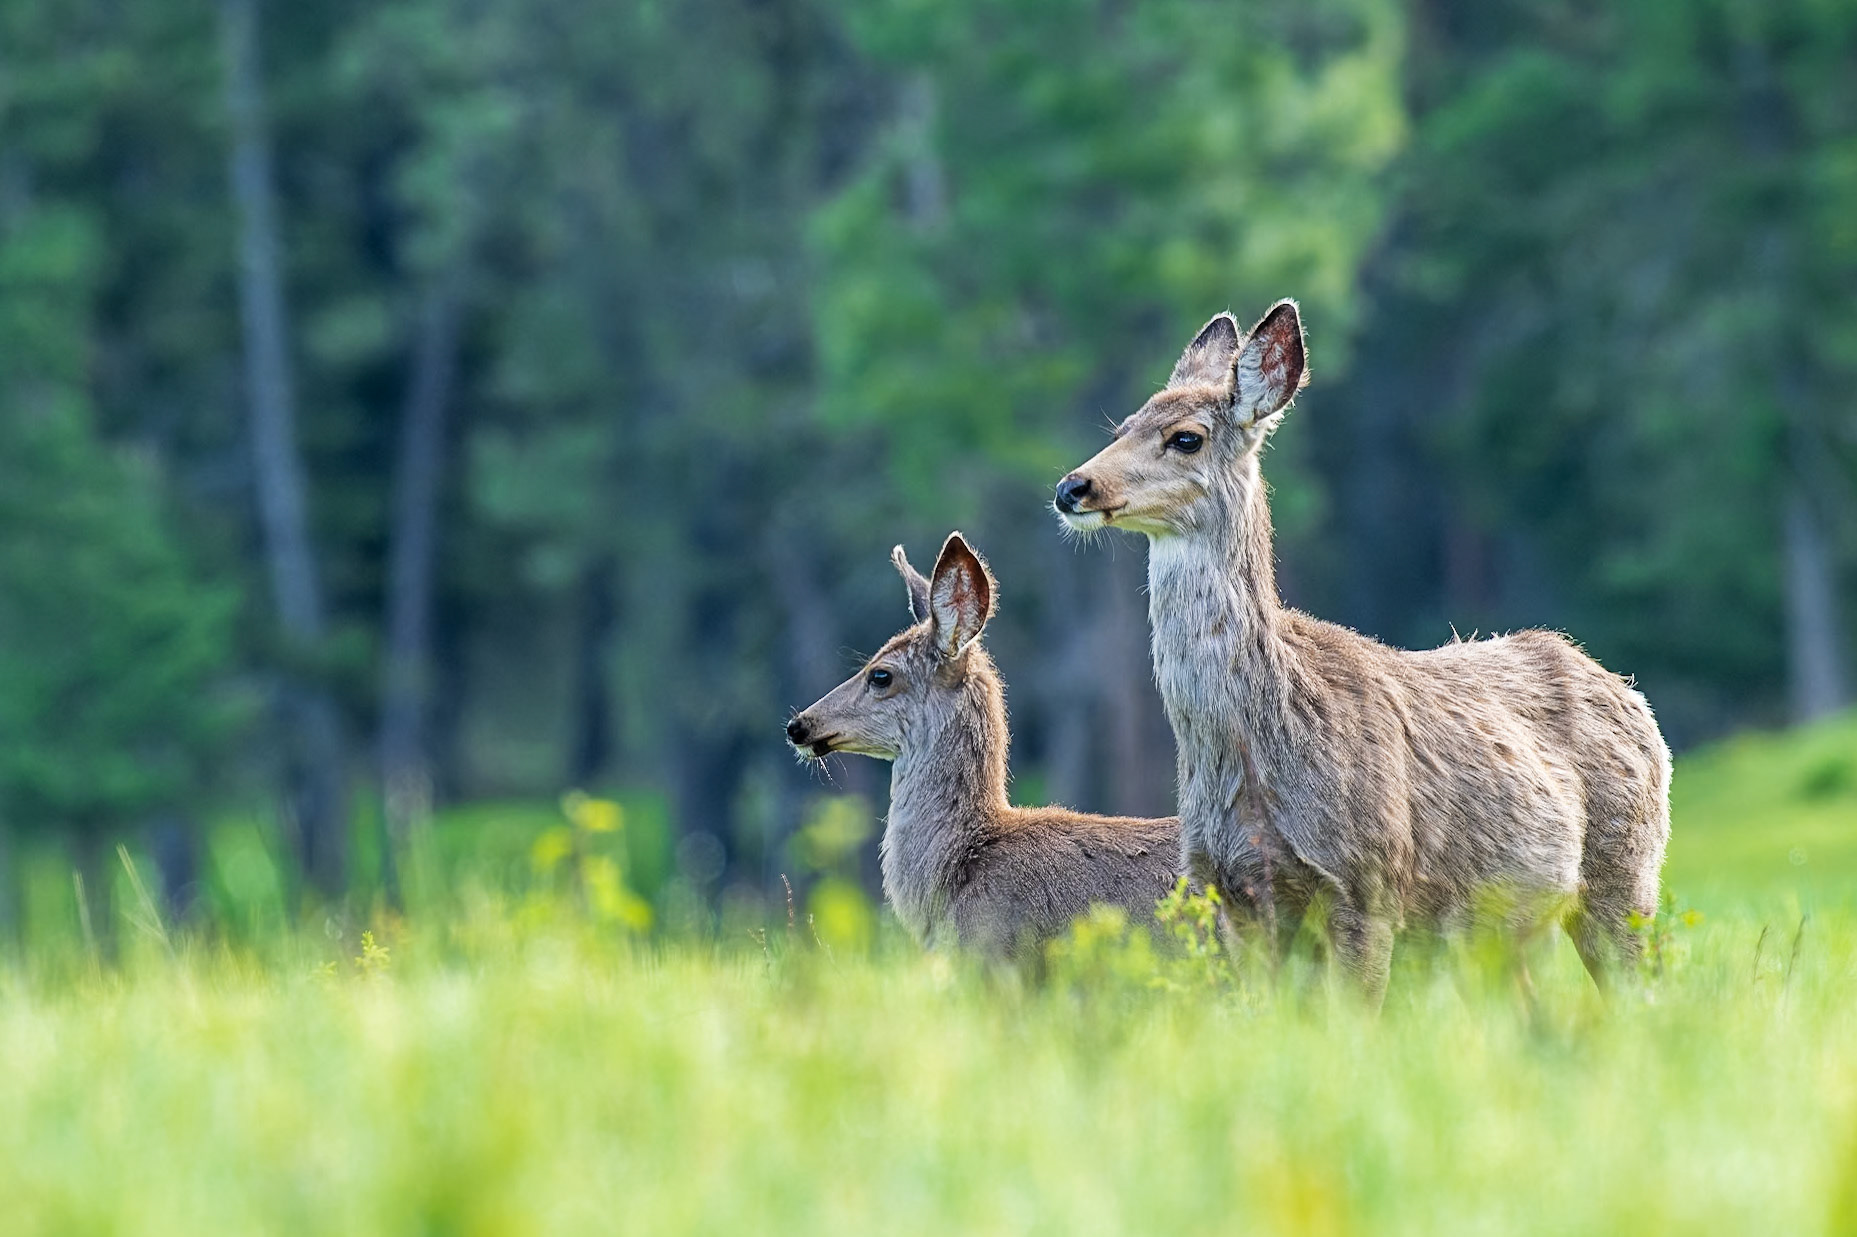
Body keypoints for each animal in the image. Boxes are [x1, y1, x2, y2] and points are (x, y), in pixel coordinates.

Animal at [1054, 300, 1671, 1000]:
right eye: (1123, 424)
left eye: (1186, 437)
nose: (1073, 487)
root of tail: (1629, 695)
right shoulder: (1234, 898)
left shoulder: (1367, 882)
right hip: (1500, 931)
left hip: (1626, 874)